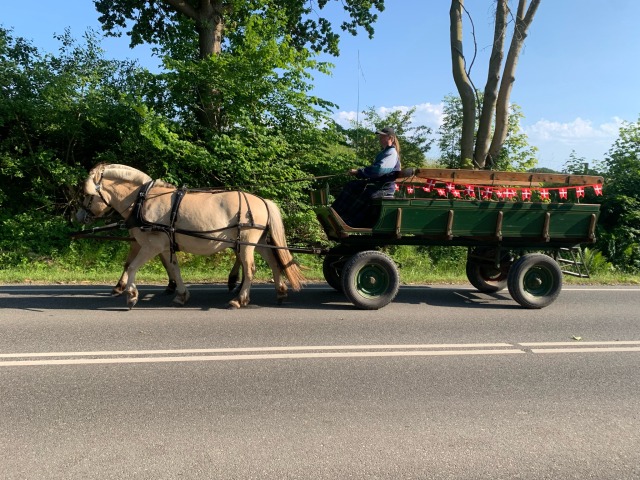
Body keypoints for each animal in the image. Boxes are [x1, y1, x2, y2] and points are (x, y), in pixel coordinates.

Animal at [80, 163, 304, 310]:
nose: (78, 216)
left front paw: (131, 295)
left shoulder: (152, 245)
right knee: (274, 263)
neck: (142, 200)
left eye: (87, 194)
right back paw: (280, 292)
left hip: (246, 243)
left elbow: (133, 266)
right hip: (258, 242)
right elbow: (174, 269)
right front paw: (181, 294)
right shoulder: (164, 245)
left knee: (250, 269)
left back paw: (239, 300)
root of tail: (263, 200)